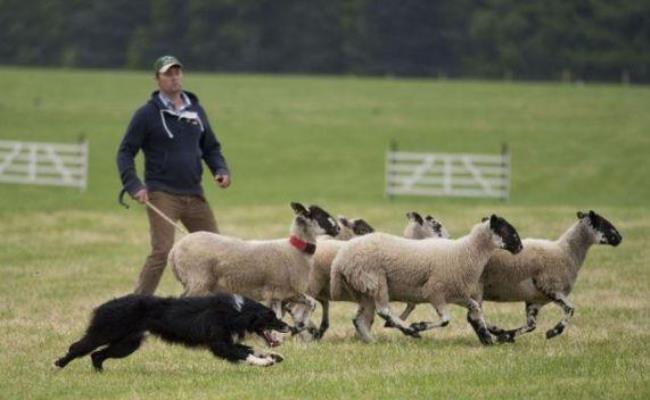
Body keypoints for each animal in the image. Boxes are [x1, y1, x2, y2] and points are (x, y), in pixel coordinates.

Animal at [167, 202, 340, 332]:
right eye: (319, 215)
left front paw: (300, 325)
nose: (338, 228)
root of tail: (174, 251)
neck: (294, 251)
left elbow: (311, 303)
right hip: (198, 280)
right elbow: (277, 315)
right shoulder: (275, 290)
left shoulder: (288, 293)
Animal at [330, 216, 520, 344]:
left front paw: (488, 335)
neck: (466, 252)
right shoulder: (435, 292)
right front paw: (418, 326)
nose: (519, 248)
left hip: (363, 287)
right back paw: (408, 330)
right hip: (375, 279)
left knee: (359, 320)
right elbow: (445, 320)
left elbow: (475, 308)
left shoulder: (456, 294)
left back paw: (371, 340)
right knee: (383, 310)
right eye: (507, 231)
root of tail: (340, 259)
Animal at [478, 211, 620, 342]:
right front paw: (553, 332)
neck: (566, 252)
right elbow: (570, 309)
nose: (620, 238)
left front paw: (506, 335)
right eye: (603, 223)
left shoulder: (536, 300)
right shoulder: (550, 287)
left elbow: (531, 326)